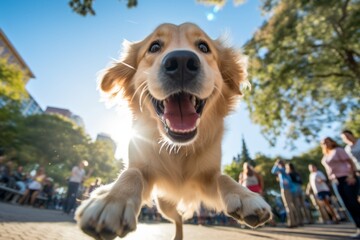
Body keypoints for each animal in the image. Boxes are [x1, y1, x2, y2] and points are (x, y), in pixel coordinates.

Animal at [77, 22, 272, 240]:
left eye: (203, 47)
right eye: (154, 47)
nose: (181, 61)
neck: (178, 149)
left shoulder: (206, 177)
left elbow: (223, 177)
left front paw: (245, 195)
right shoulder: (143, 168)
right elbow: (131, 174)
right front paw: (111, 199)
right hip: (163, 205)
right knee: (177, 218)